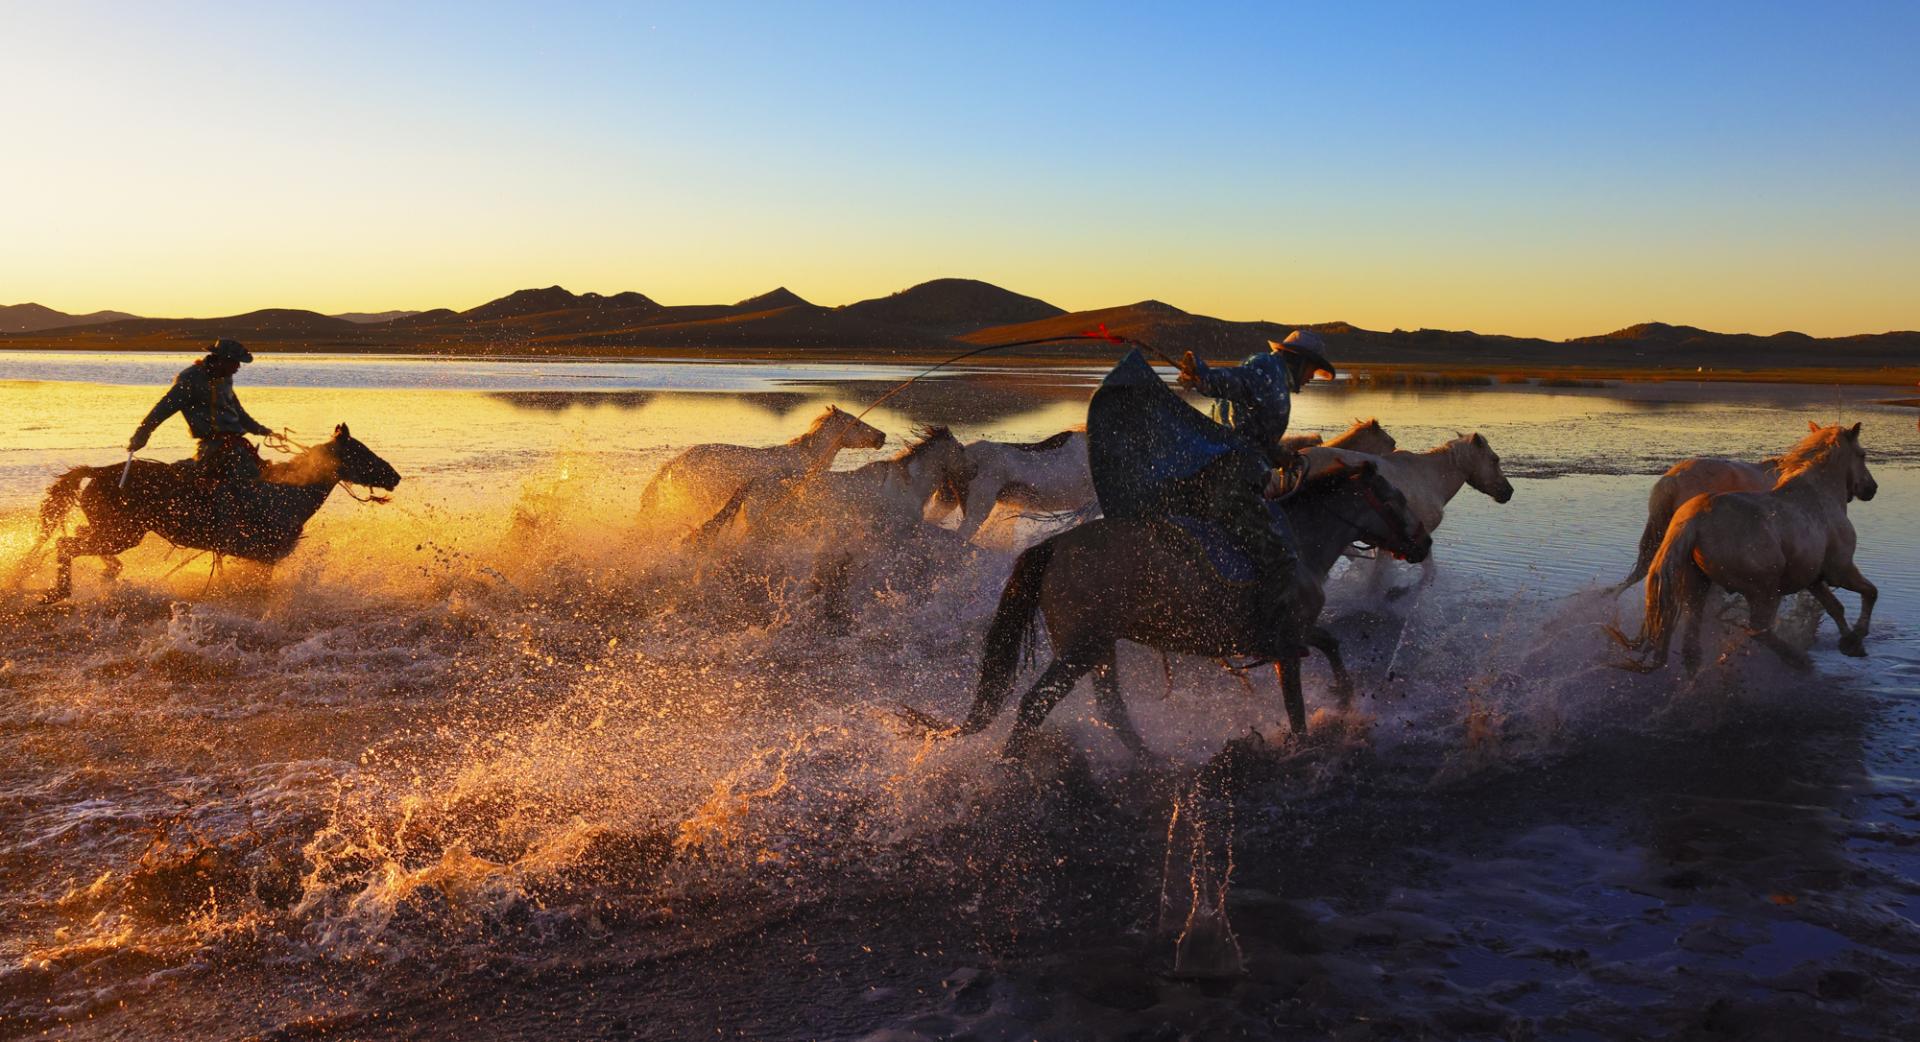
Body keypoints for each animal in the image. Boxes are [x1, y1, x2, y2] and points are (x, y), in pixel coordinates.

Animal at [33, 426, 399, 602]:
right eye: (361, 452)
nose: (394, 476)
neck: (286, 494)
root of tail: (96, 472)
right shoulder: (264, 557)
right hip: (119, 534)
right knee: (66, 545)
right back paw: (57, 592)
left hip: (113, 533)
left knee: (75, 539)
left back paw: (108, 573)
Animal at [910, 460, 1428, 763]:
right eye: (1398, 498)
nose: (1423, 543)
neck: (1296, 542)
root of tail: (1055, 546)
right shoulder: (1284, 645)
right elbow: (1296, 707)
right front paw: (1303, 746)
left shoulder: (1295, 634)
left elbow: (1331, 644)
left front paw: (1344, 698)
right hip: (1080, 650)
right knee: (1036, 703)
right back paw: (1013, 766)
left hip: (1099, 648)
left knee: (1112, 710)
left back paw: (1151, 759)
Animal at [1612, 424, 1881, 675]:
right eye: (1862, 454)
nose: (1872, 488)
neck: (1818, 496)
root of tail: (1694, 522)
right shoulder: (1840, 570)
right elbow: (1870, 592)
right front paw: (1855, 638)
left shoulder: (1814, 578)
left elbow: (1836, 607)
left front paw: (1851, 644)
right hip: (1765, 591)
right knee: (1757, 630)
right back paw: (1797, 660)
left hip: (1697, 586)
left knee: (1692, 645)